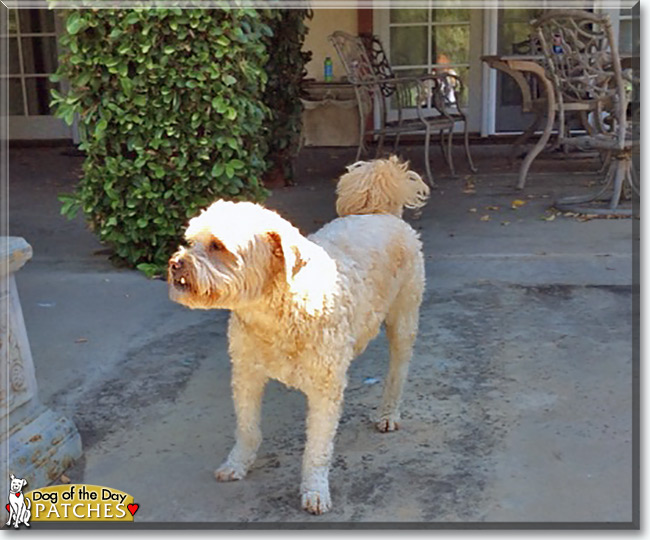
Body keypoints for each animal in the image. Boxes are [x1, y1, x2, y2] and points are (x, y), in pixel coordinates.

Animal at [170, 156, 428, 516]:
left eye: (218, 246)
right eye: (191, 241)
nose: (175, 264)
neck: (277, 312)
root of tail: (381, 212)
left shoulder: (325, 389)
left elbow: (317, 449)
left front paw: (315, 490)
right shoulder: (246, 375)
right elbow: (247, 429)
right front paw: (238, 464)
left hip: (404, 321)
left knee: (398, 371)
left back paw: (389, 413)